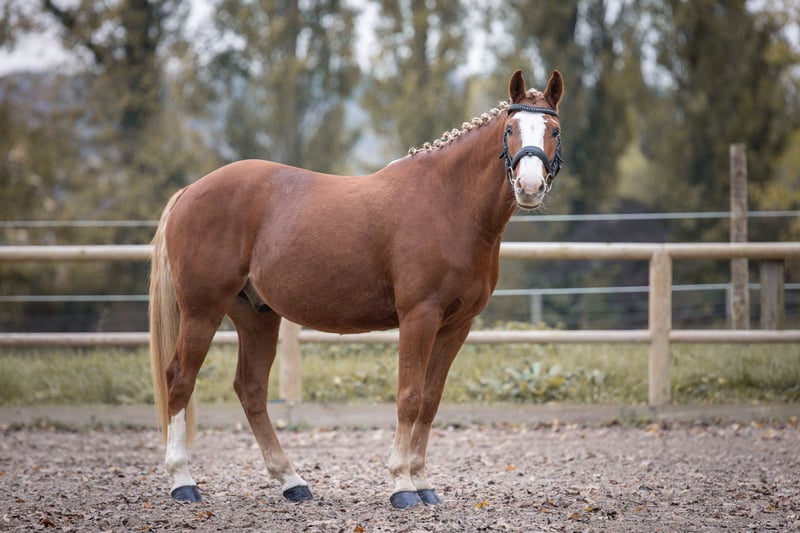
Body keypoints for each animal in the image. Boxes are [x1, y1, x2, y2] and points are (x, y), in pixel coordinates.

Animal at [149, 68, 564, 509]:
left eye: (553, 130)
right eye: (510, 129)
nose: (530, 186)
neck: (449, 203)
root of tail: (189, 192)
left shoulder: (456, 326)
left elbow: (430, 401)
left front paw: (423, 483)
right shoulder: (419, 317)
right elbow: (409, 396)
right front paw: (402, 485)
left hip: (256, 316)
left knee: (251, 389)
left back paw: (292, 481)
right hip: (202, 310)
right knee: (180, 378)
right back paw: (183, 482)